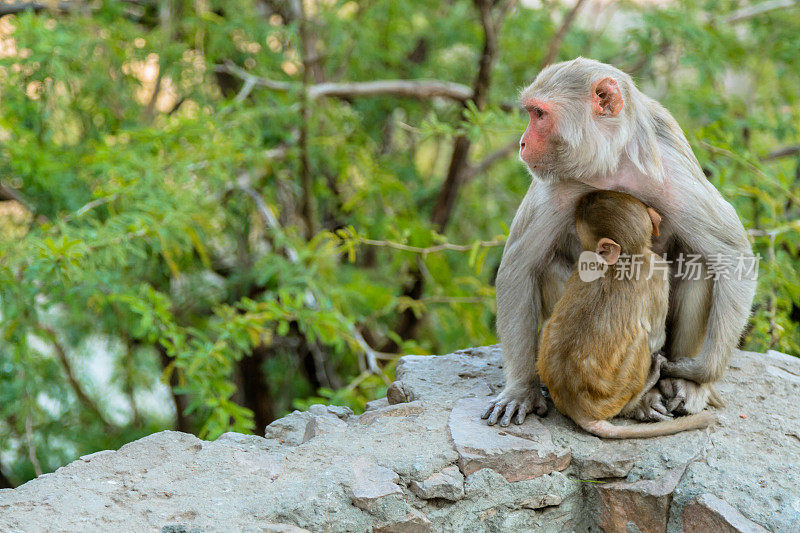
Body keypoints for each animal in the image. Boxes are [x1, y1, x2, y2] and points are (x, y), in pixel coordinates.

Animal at [482, 57, 756, 424]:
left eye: (539, 114)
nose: (523, 144)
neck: (611, 161)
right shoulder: (557, 184)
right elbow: (519, 267)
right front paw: (521, 390)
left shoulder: (673, 173)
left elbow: (733, 254)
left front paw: (699, 372)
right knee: (550, 266)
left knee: (699, 262)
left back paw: (683, 385)